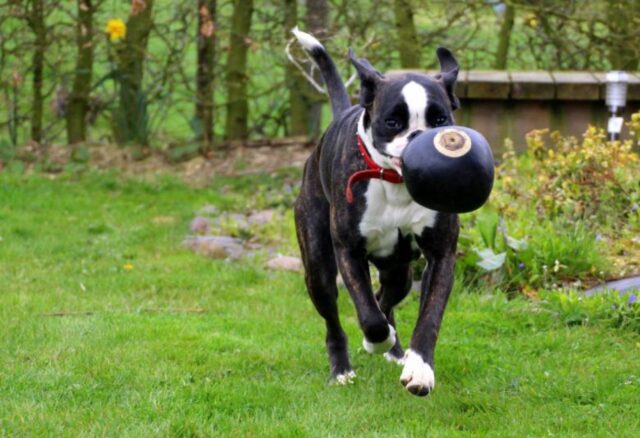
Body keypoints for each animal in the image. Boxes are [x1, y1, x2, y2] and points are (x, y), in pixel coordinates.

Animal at [290, 27, 460, 396]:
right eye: (392, 122)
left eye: (440, 120)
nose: (419, 137)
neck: (395, 184)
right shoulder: (349, 252)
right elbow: (368, 317)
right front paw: (376, 340)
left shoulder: (441, 254)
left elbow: (428, 316)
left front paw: (419, 368)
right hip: (318, 268)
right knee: (336, 320)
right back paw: (343, 368)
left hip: (400, 272)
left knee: (386, 297)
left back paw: (397, 352)